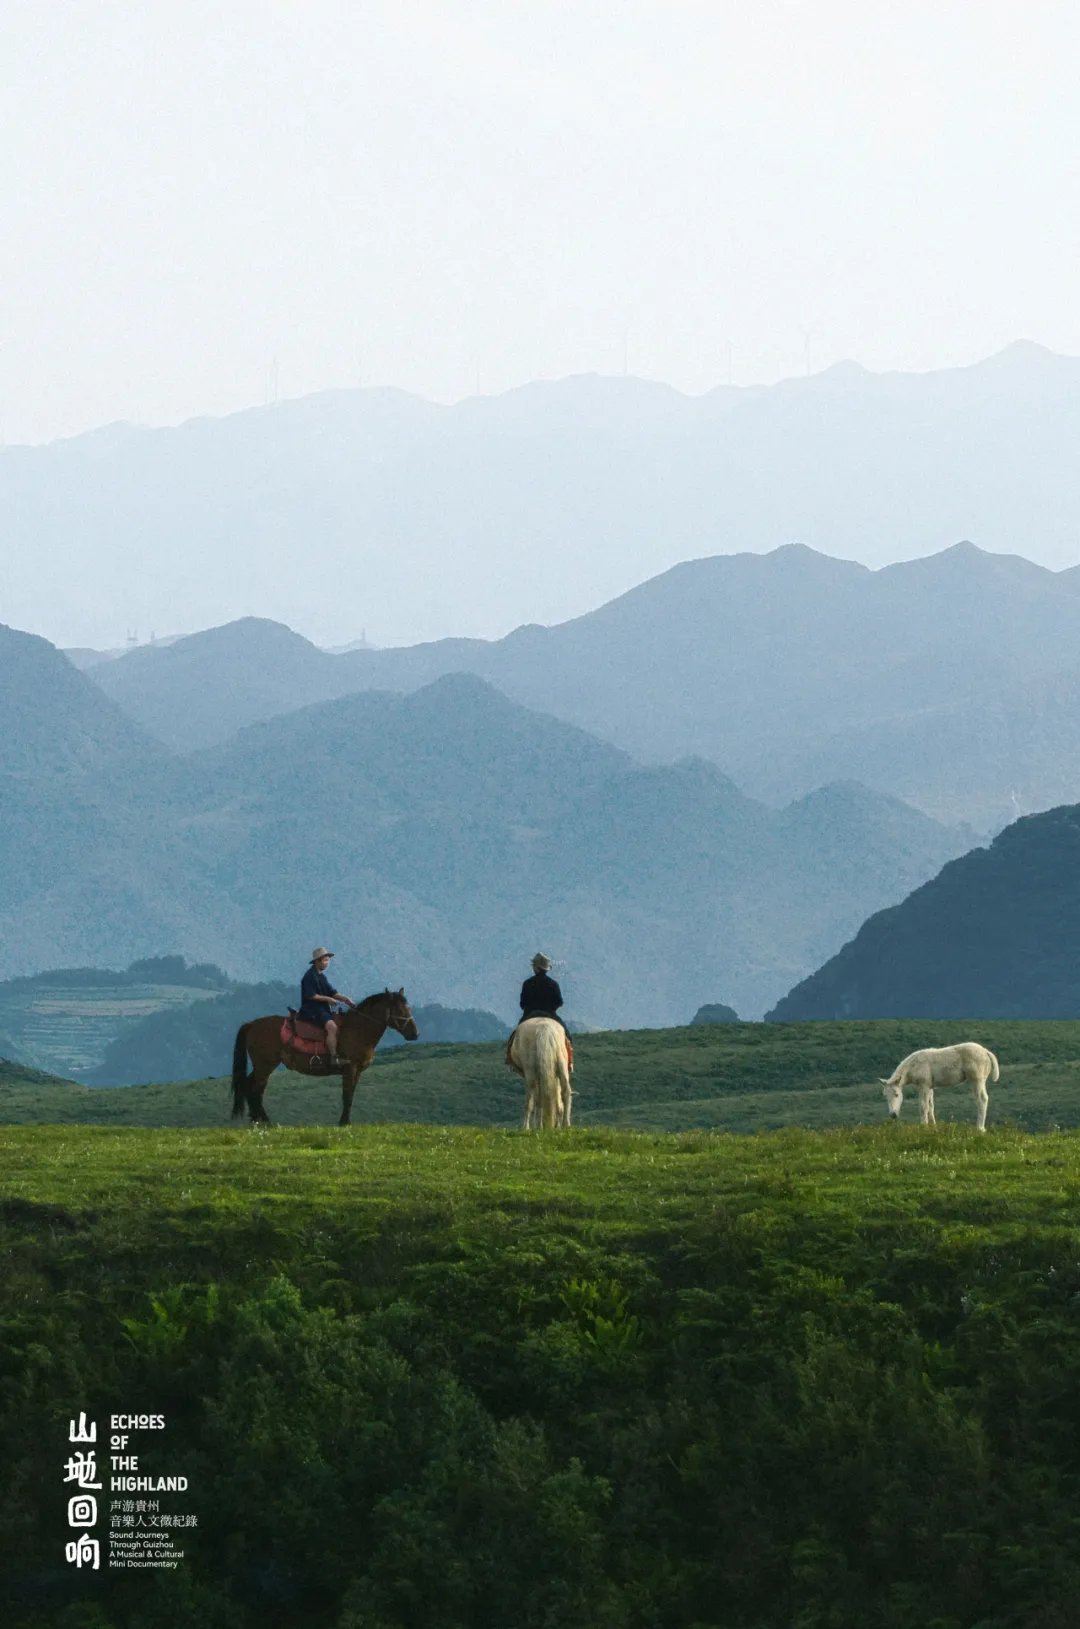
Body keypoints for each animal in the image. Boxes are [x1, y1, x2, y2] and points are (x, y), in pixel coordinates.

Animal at [231, 989, 419, 1126]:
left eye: (409, 1008)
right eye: (400, 1009)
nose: (415, 1034)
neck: (358, 1030)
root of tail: (250, 1025)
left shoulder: (357, 1071)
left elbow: (351, 1095)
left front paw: (345, 1121)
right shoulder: (349, 1068)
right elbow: (346, 1095)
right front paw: (344, 1123)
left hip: (262, 1065)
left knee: (249, 1086)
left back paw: (256, 1119)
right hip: (265, 1065)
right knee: (257, 1089)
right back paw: (266, 1122)